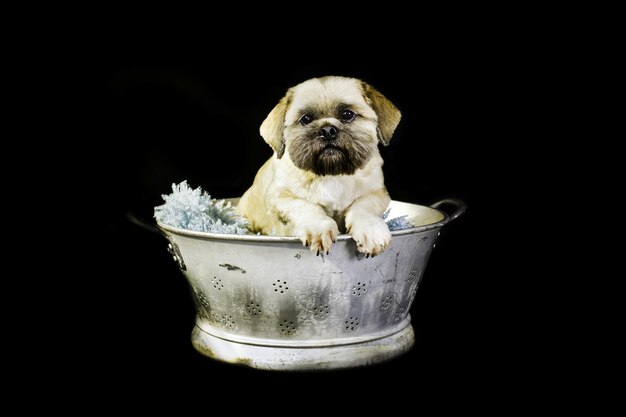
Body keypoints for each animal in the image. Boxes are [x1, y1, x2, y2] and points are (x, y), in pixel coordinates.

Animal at [236, 76, 402, 255]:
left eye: (347, 114)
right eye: (306, 119)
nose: (327, 130)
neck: (332, 174)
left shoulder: (377, 193)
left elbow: (363, 207)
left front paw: (371, 230)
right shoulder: (280, 197)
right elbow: (307, 207)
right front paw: (318, 228)